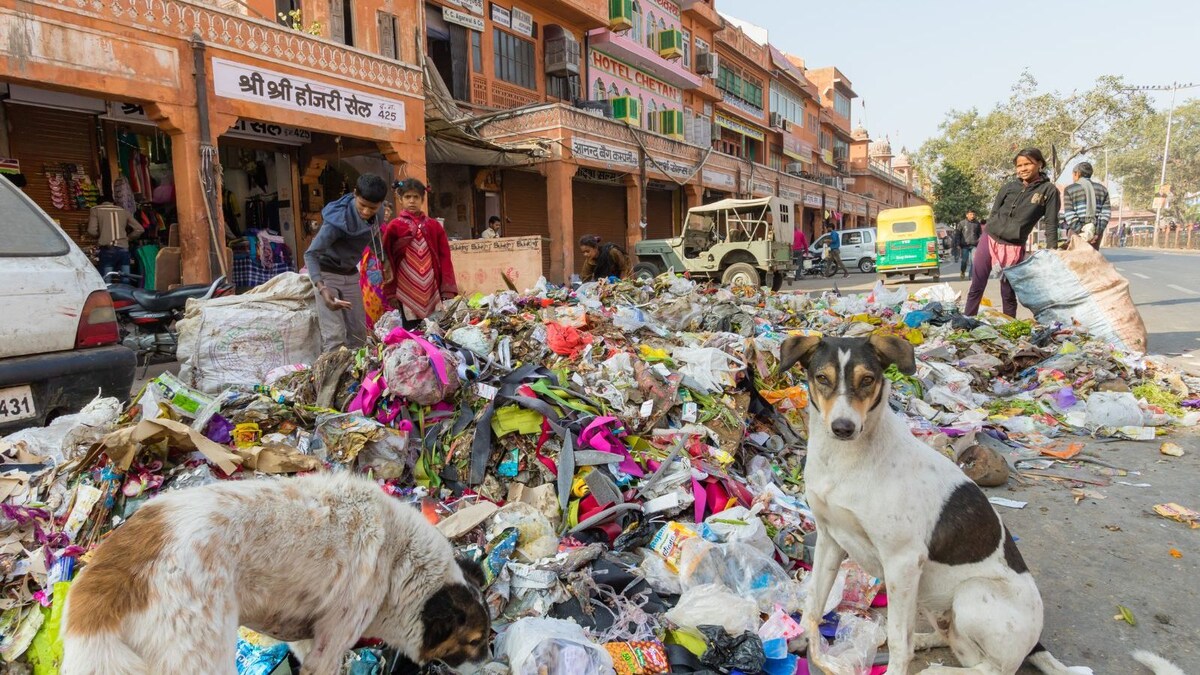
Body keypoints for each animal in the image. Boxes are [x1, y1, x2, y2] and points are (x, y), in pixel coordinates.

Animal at [59, 470, 492, 667]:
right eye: (474, 639)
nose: (489, 659)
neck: (399, 562)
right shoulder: (334, 639)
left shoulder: (307, 642)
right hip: (203, 655)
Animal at [777, 331, 1099, 672]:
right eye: (822, 378)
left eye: (867, 380)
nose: (843, 428)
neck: (843, 460)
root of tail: (1035, 643)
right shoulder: (831, 539)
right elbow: (814, 603)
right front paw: (802, 639)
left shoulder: (903, 561)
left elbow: (898, 642)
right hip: (928, 598)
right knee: (950, 641)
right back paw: (923, 641)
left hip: (969, 594)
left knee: (990, 668)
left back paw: (937, 669)